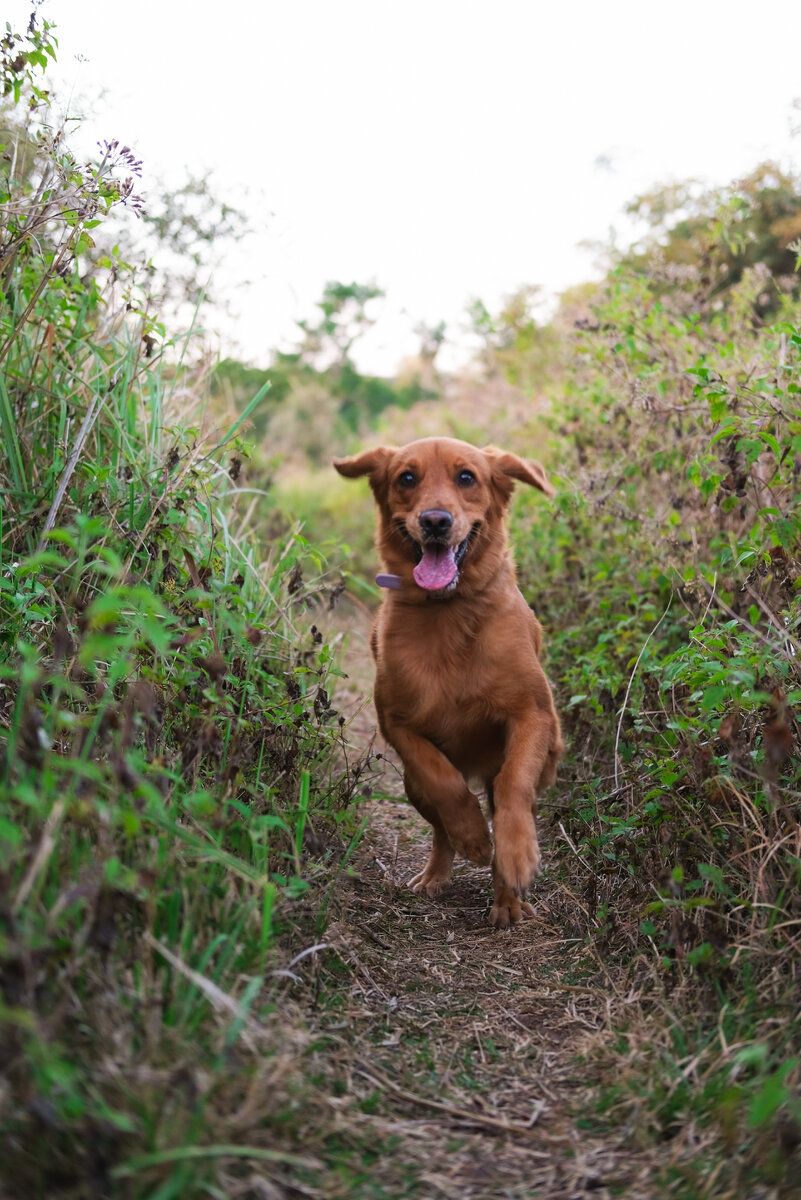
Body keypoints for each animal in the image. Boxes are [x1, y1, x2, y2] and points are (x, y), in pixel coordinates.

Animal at [330, 439, 563, 926]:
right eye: (407, 478)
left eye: (467, 477)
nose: (435, 521)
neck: (449, 610)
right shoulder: (397, 723)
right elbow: (445, 783)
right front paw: (473, 835)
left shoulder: (533, 714)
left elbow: (513, 783)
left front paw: (516, 856)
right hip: (410, 788)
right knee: (439, 825)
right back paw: (439, 871)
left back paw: (508, 900)